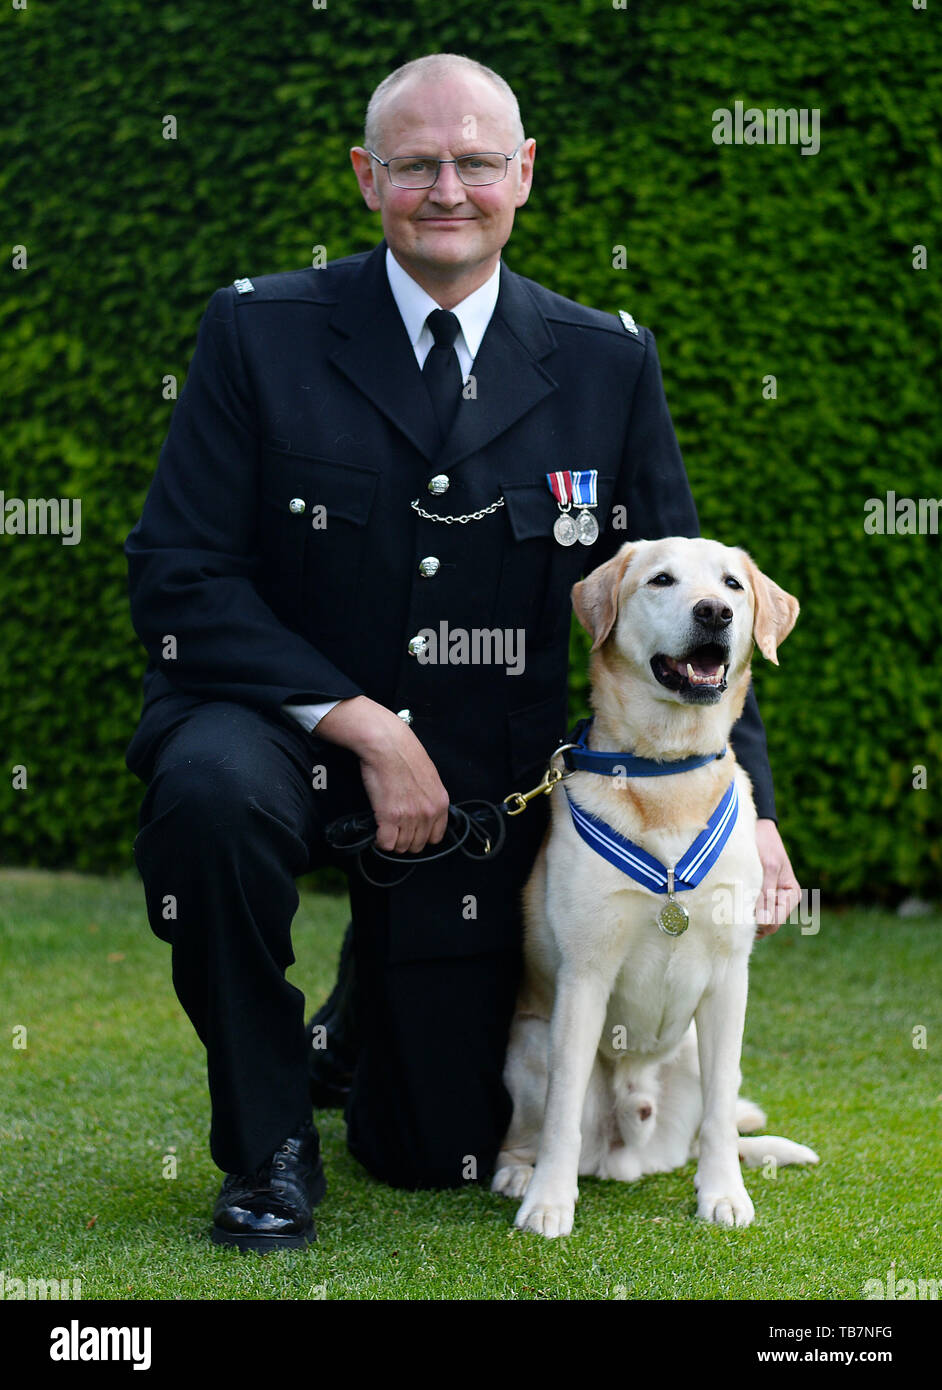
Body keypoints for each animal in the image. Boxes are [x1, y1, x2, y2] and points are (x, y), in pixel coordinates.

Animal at [494, 536, 816, 1234]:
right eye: (661, 580)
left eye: (733, 584)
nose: (715, 612)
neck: (666, 769)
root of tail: (629, 1155)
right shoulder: (584, 976)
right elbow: (562, 1112)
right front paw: (549, 1202)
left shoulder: (729, 981)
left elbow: (722, 1112)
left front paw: (723, 1195)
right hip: (528, 1044)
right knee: (530, 1128)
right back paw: (517, 1173)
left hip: (691, 1051)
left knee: (710, 1127)